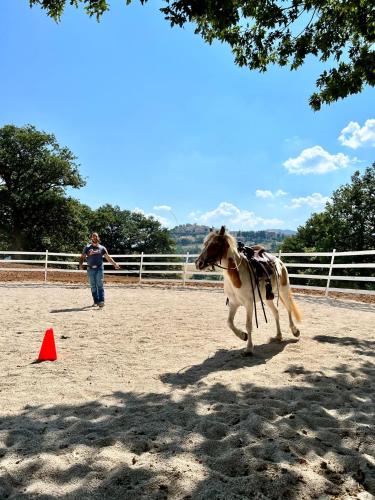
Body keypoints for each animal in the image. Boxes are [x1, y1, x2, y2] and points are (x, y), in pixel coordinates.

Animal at [195, 227, 302, 356]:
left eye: (215, 245)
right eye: (205, 244)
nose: (198, 263)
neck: (236, 277)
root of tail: (278, 261)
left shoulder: (249, 304)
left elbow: (248, 324)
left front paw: (249, 348)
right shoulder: (233, 303)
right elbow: (229, 322)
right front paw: (243, 336)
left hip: (283, 290)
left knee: (289, 308)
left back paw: (295, 331)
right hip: (267, 298)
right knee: (276, 312)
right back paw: (278, 336)